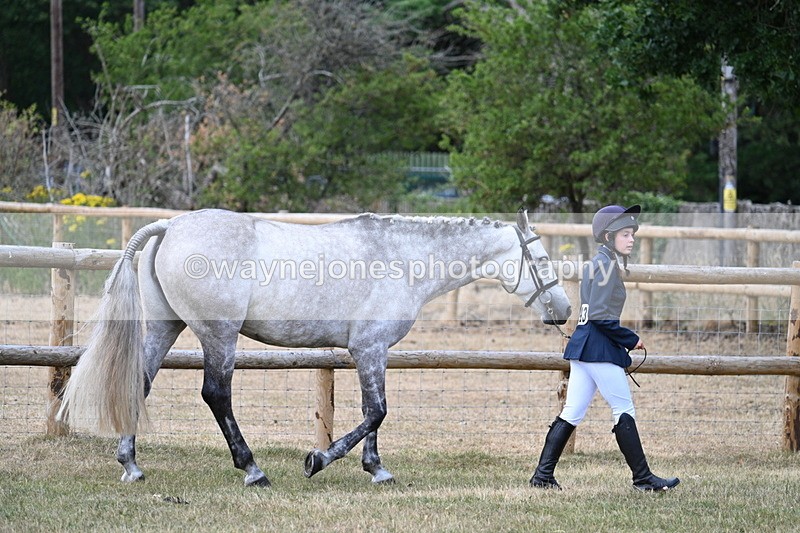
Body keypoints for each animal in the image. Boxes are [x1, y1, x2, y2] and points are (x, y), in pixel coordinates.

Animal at [57, 208, 571, 487]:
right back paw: (253, 471)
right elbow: (376, 412)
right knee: (216, 395)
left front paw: (377, 470)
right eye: (542, 259)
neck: (401, 259)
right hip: (218, 336)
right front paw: (318, 461)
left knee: (138, 383)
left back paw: (131, 466)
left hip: (167, 326)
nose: (564, 310)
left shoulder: (371, 353)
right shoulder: (369, 349)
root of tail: (170, 227)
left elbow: (373, 412)